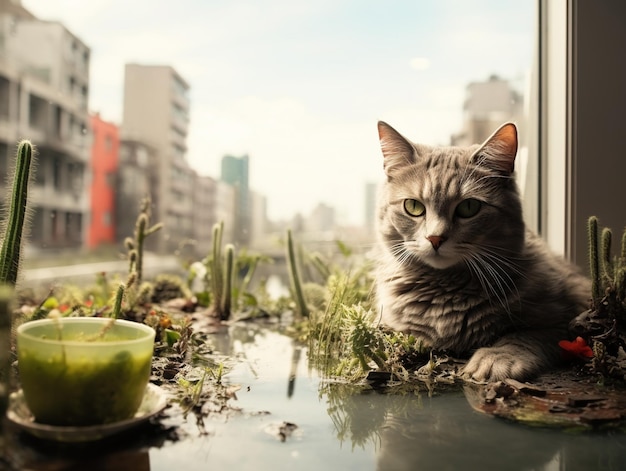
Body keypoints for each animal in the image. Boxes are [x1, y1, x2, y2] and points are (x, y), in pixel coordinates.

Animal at [372, 121, 588, 384]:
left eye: (468, 207)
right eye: (413, 207)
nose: (435, 238)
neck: (444, 292)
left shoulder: (564, 321)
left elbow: (523, 335)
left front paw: (496, 358)